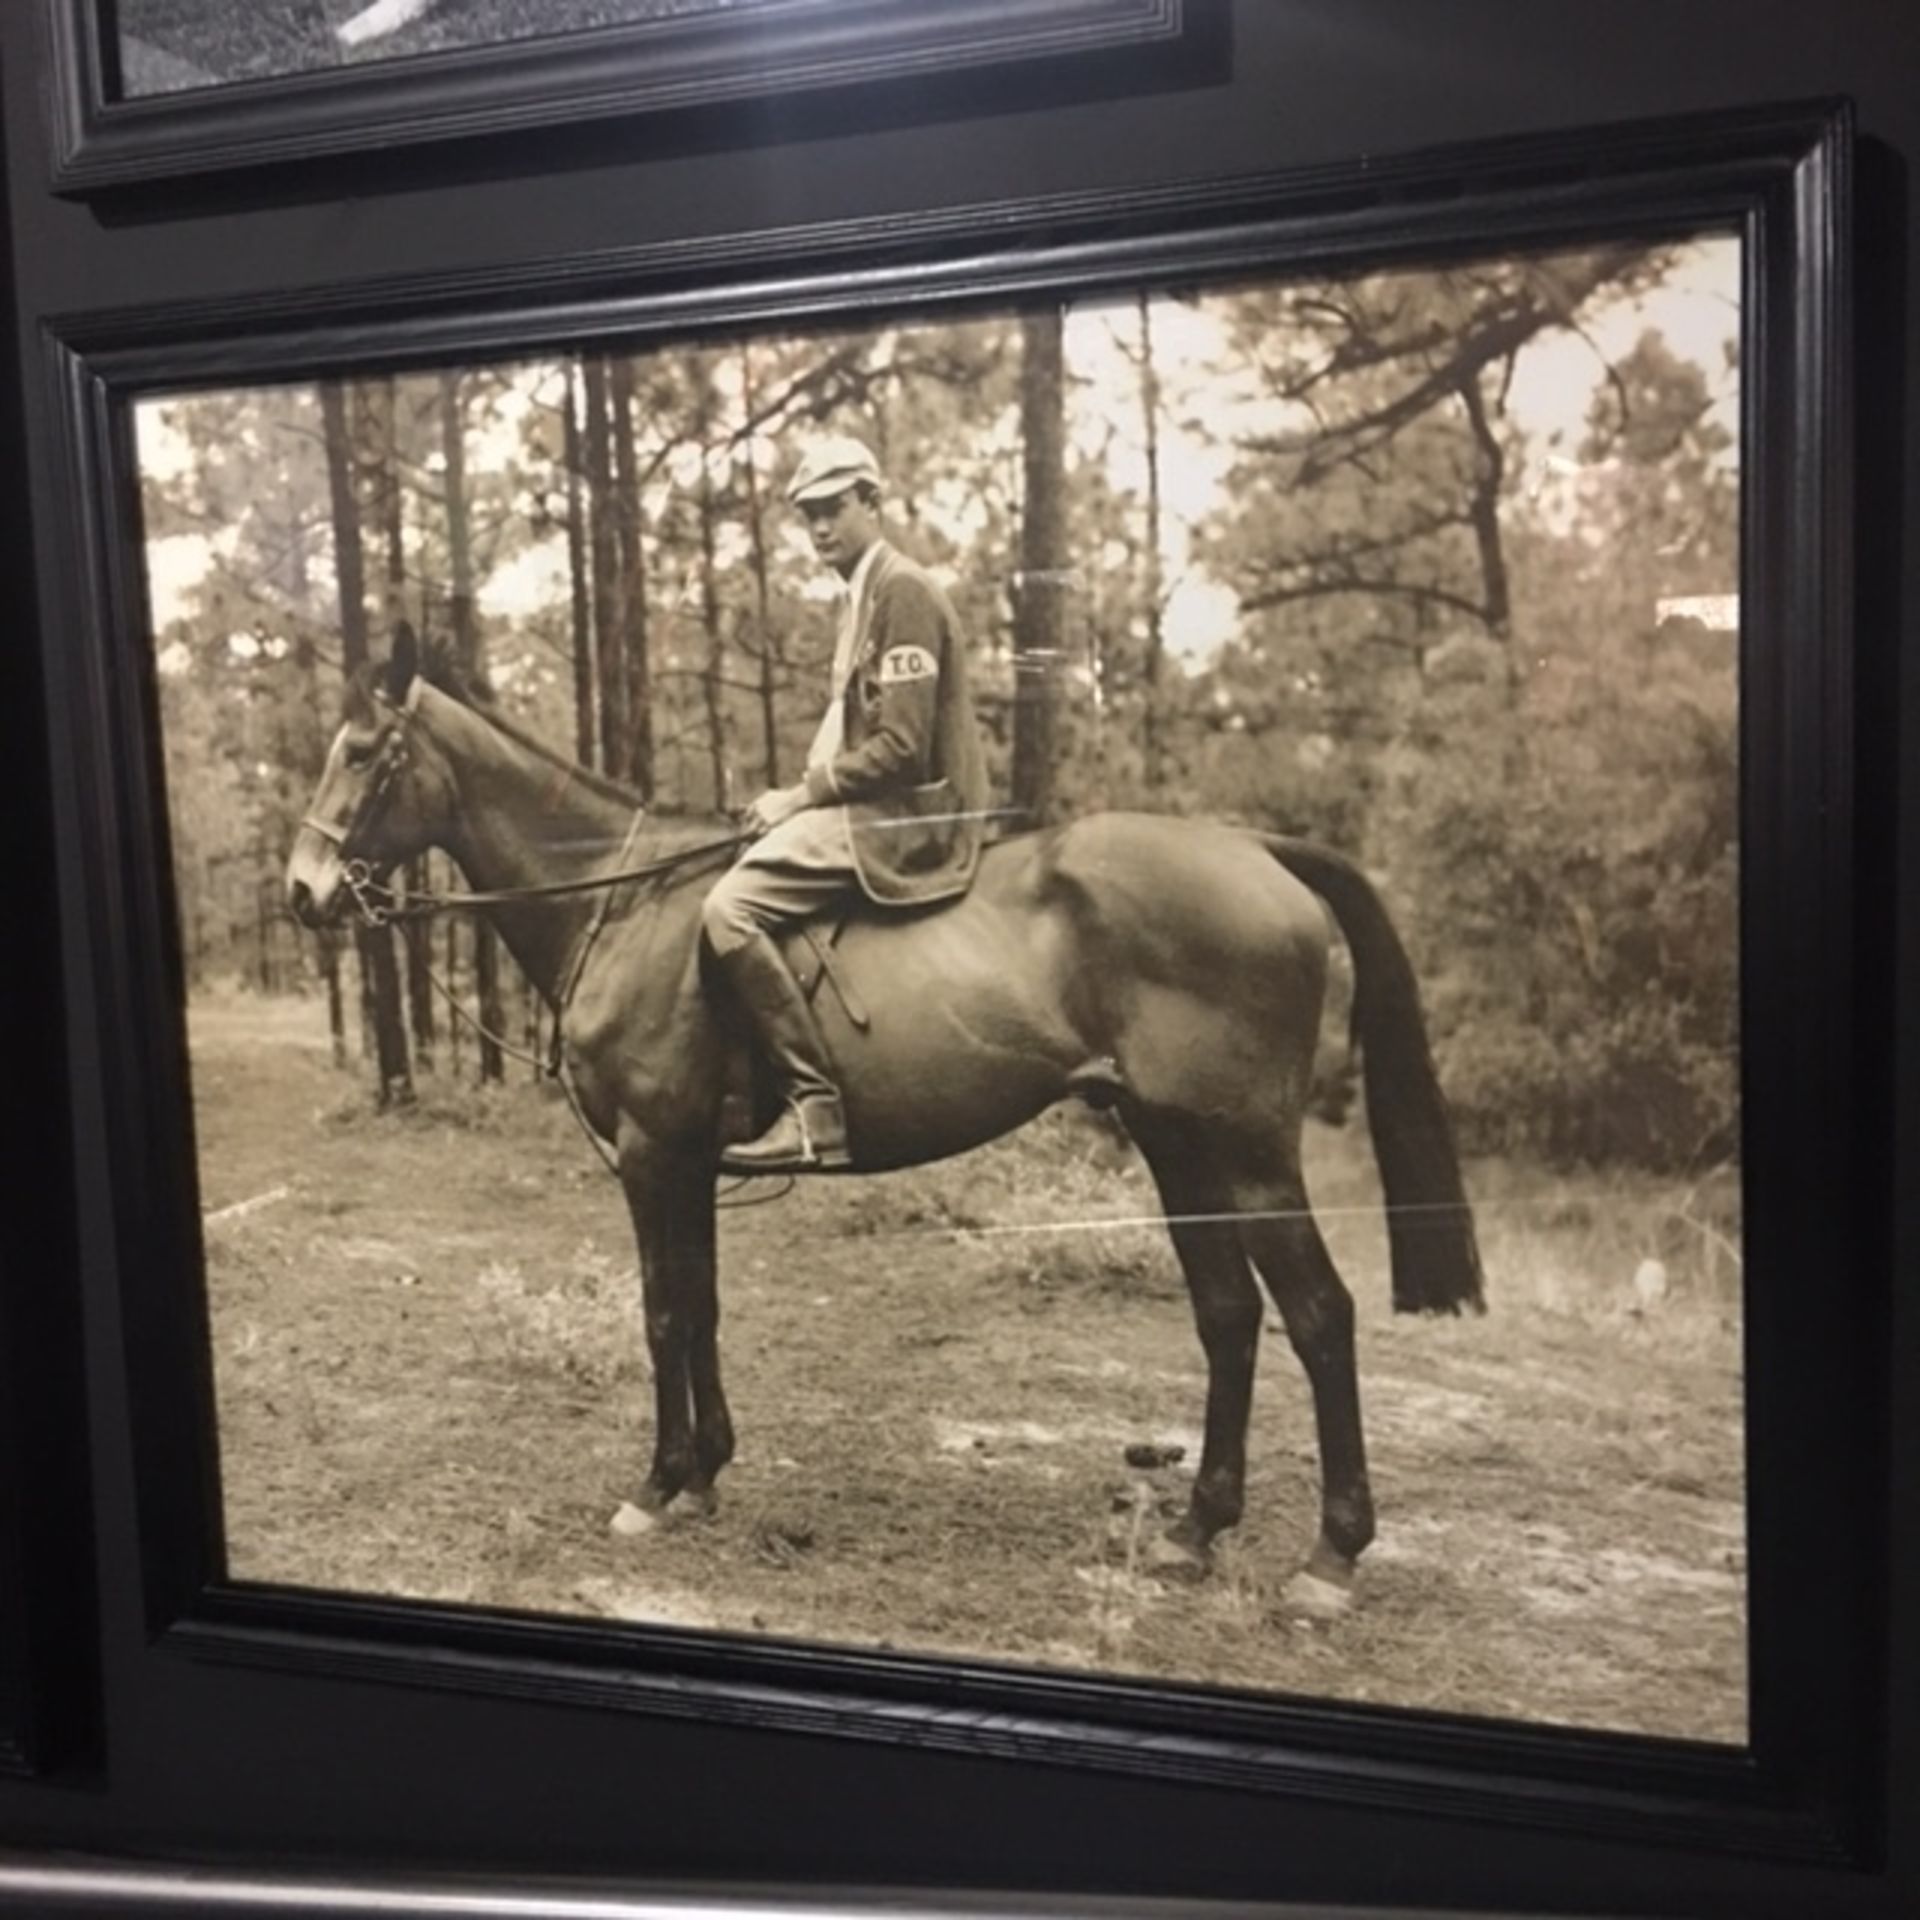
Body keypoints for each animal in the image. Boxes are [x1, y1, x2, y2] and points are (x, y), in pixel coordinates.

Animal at [288, 633, 1482, 1620]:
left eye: (361, 751)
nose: (303, 893)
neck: (621, 901)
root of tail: (1257, 850)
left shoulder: (650, 1155)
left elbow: (664, 1315)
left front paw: (658, 1484)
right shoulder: (691, 1165)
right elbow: (703, 1310)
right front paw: (707, 1473)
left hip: (1249, 1155)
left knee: (1320, 1317)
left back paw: (1330, 1560)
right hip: (1177, 1145)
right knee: (1229, 1317)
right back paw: (1195, 1529)